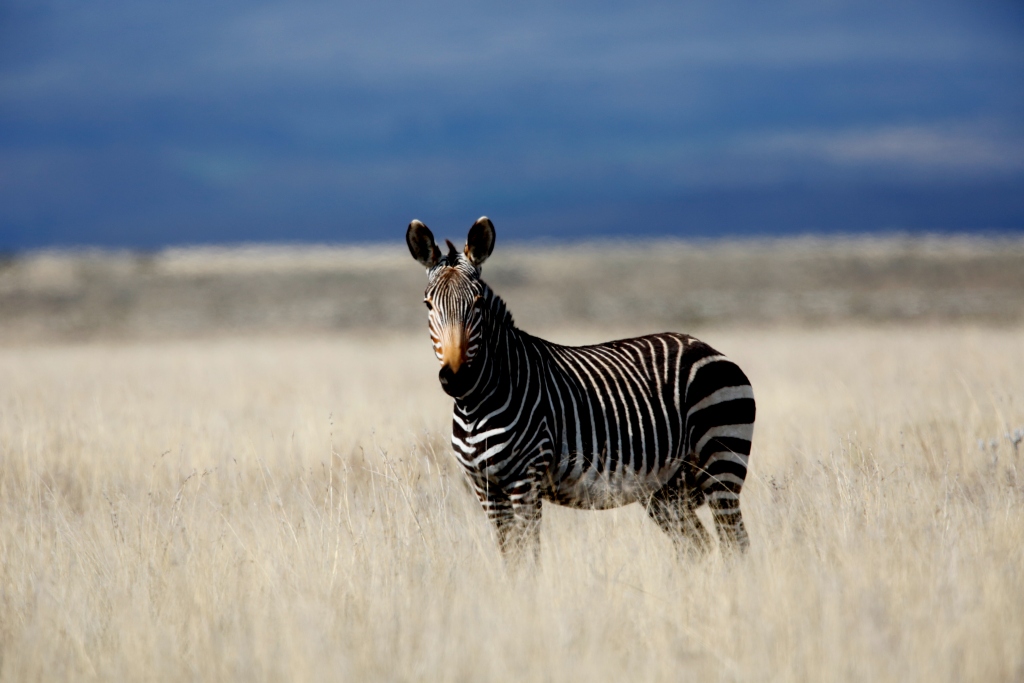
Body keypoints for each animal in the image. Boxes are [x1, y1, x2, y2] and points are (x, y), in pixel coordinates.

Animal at [407, 216, 756, 560]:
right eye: (428, 304)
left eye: (477, 302)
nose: (457, 378)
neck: (475, 405)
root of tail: (706, 347)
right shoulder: (486, 487)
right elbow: (511, 559)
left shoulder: (526, 479)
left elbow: (530, 557)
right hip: (666, 488)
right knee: (698, 546)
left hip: (721, 460)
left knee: (735, 544)